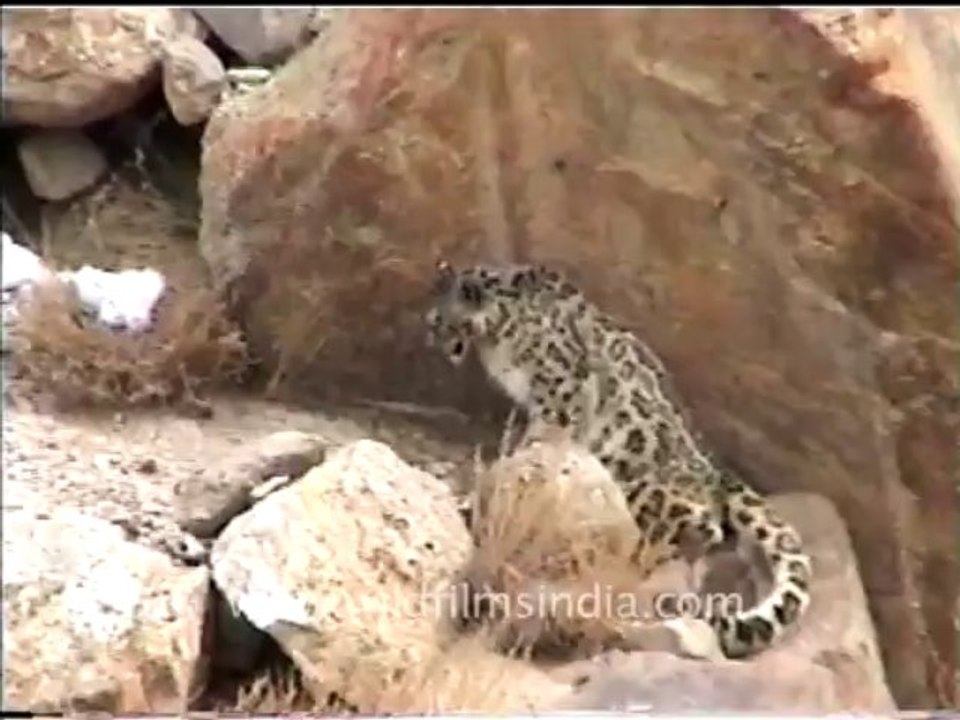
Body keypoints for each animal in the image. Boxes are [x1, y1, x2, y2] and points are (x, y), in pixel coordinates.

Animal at [424, 259, 813, 659]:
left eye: (438, 321)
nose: (430, 338)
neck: (500, 338)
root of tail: (717, 475)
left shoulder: (558, 397)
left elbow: (538, 445)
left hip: (638, 487)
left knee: (698, 530)